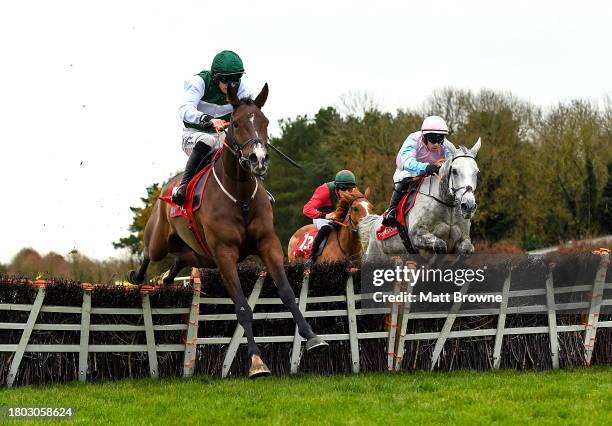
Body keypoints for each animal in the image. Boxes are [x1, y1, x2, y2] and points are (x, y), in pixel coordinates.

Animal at [129, 83, 328, 376]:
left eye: (265, 122)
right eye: (235, 123)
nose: (258, 158)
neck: (240, 195)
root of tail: (168, 186)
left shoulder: (268, 244)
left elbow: (287, 293)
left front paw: (313, 337)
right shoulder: (224, 255)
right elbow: (243, 308)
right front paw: (256, 361)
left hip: (201, 254)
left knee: (181, 258)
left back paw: (164, 280)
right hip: (162, 240)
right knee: (148, 253)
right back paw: (138, 277)